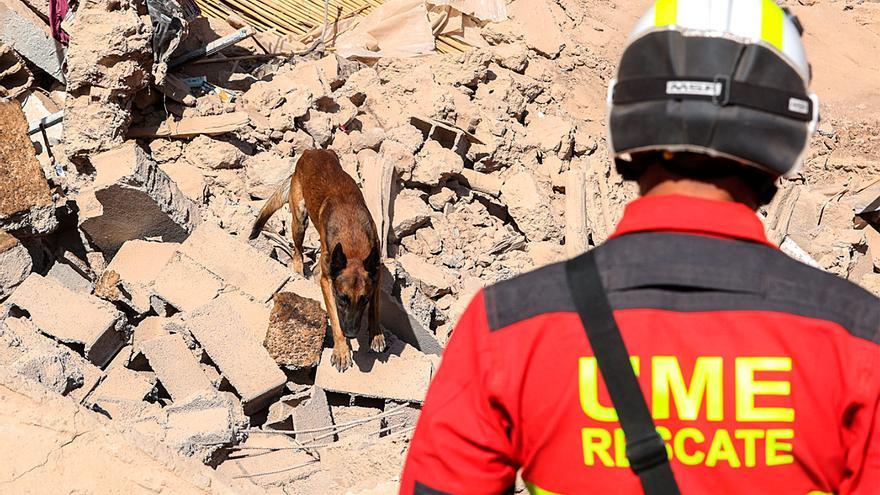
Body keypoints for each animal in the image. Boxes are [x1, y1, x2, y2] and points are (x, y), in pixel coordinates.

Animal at [249, 150, 384, 372]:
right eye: (342, 299)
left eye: (363, 299)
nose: (351, 334)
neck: (353, 243)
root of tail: (312, 151)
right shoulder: (327, 282)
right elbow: (336, 320)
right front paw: (342, 350)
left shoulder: (376, 274)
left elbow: (375, 306)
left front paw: (376, 334)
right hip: (299, 219)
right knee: (297, 250)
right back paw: (297, 270)